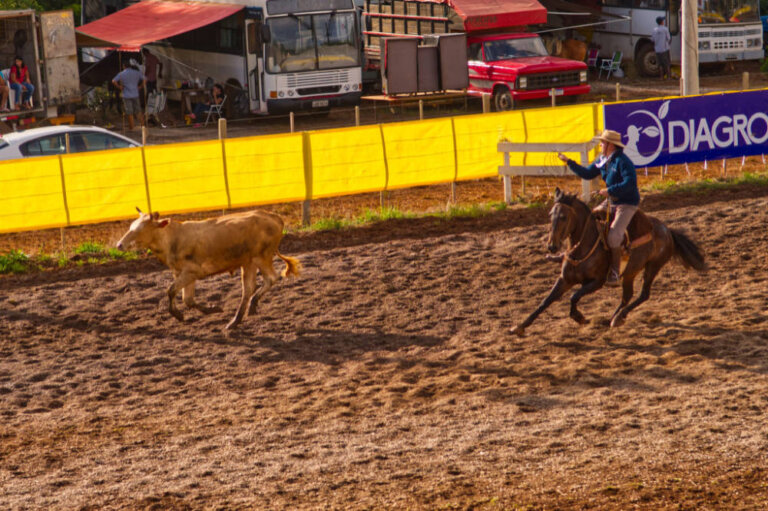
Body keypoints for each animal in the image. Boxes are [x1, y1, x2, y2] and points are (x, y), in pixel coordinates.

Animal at [117, 210, 300, 330]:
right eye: (130, 227)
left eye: (139, 230)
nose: (119, 245)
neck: (172, 238)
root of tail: (274, 217)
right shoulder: (182, 273)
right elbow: (187, 299)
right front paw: (212, 309)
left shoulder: (191, 272)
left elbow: (171, 291)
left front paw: (178, 315)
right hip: (248, 263)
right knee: (248, 289)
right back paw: (240, 316)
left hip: (261, 258)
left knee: (271, 279)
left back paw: (241, 315)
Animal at [512, 188, 704, 336]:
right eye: (551, 215)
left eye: (564, 217)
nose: (552, 246)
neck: (585, 246)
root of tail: (667, 230)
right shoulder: (565, 279)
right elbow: (545, 301)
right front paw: (519, 327)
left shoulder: (596, 282)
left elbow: (574, 296)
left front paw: (579, 317)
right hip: (631, 272)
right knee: (627, 295)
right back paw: (612, 318)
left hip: (653, 267)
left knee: (643, 294)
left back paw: (618, 317)